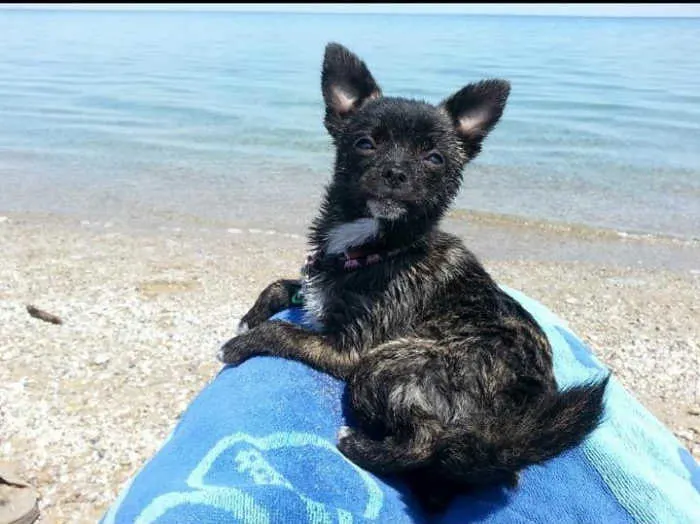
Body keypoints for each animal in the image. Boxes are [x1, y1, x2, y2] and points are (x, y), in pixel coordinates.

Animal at [219, 44, 608, 512]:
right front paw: (250, 316)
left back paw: (357, 445)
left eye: (434, 158)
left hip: (385, 363)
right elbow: (281, 286)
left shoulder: (350, 350)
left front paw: (240, 344)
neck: (376, 246)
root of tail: (512, 433)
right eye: (365, 143)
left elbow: (284, 333)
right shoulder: (320, 284)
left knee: (427, 440)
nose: (395, 172)